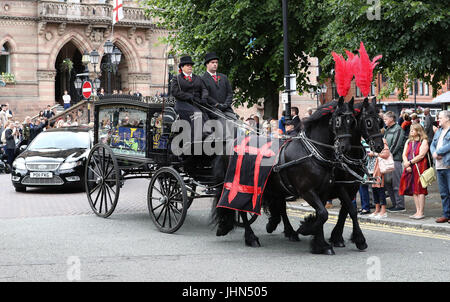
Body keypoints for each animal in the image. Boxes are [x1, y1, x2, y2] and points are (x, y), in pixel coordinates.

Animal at [213, 98, 356, 254]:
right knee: (241, 209)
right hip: (240, 185)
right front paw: (306, 229)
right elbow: (323, 214)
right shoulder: (307, 191)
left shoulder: (323, 192)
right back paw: (251, 237)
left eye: (352, 121)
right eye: (338, 121)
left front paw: (321, 244)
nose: (345, 148)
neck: (312, 152)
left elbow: (322, 215)